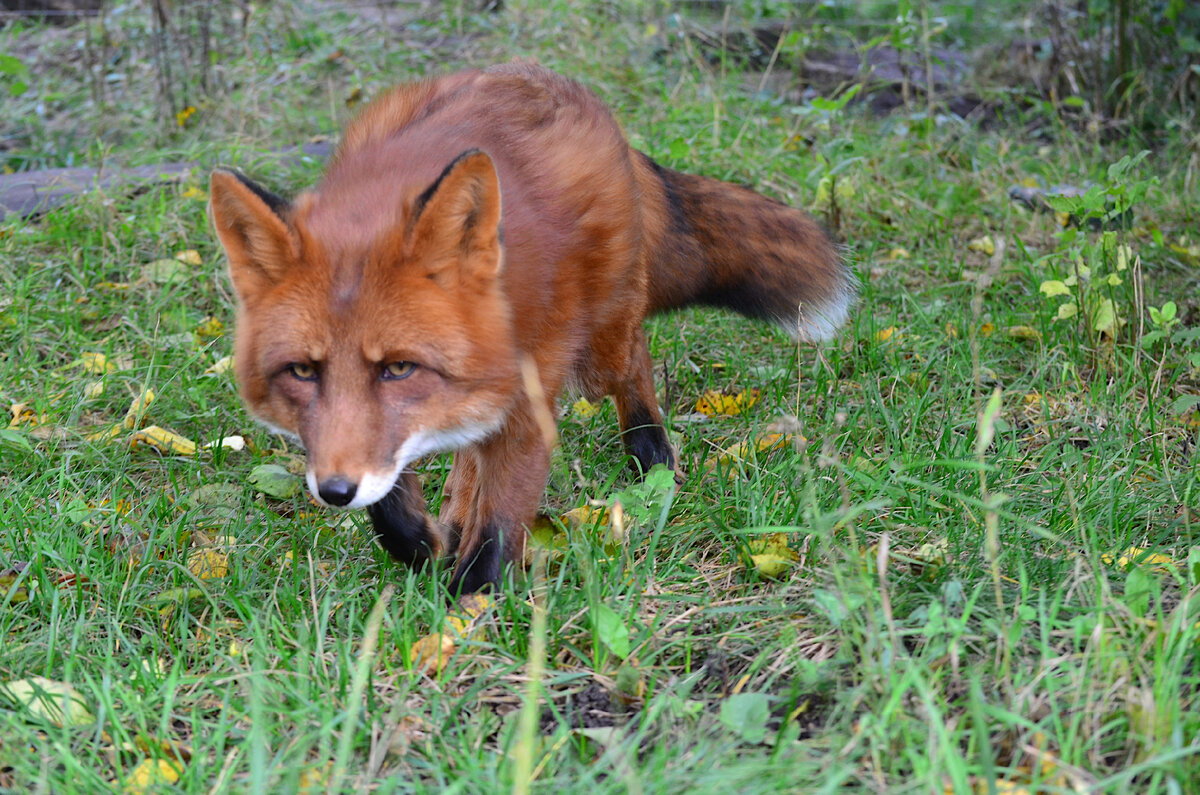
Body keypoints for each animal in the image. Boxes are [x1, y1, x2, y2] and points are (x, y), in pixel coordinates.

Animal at [213, 62, 854, 595]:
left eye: (398, 368)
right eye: (302, 371)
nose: (333, 493)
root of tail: (542, 75)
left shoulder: (528, 395)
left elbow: (501, 520)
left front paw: (467, 612)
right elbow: (395, 499)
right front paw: (422, 543)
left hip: (598, 349)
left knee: (634, 360)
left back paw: (652, 458)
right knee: (470, 454)